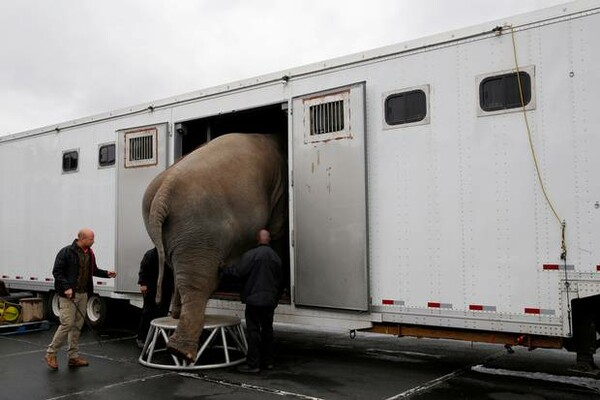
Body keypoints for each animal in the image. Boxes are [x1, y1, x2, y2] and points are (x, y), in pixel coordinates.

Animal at [141, 133, 286, 360]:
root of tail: (164, 191)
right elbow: (277, 228)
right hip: (199, 232)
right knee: (200, 282)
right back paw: (181, 351)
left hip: (179, 233)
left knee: (180, 272)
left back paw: (175, 317)